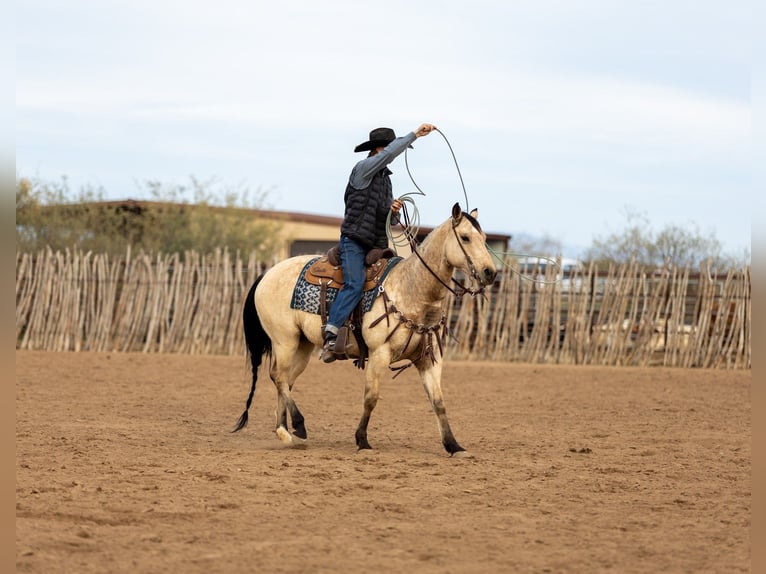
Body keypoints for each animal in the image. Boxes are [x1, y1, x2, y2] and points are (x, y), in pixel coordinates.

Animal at [232, 202, 497, 456]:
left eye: (484, 237)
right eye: (465, 237)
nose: (490, 272)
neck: (410, 290)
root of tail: (266, 274)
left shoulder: (429, 360)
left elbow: (439, 402)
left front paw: (454, 446)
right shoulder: (380, 353)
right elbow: (371, 398)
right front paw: (362, 441)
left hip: (302, 346)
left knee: (286, 380)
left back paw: (286, 433)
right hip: (284, 340)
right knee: (278, 376)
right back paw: (298, 424)